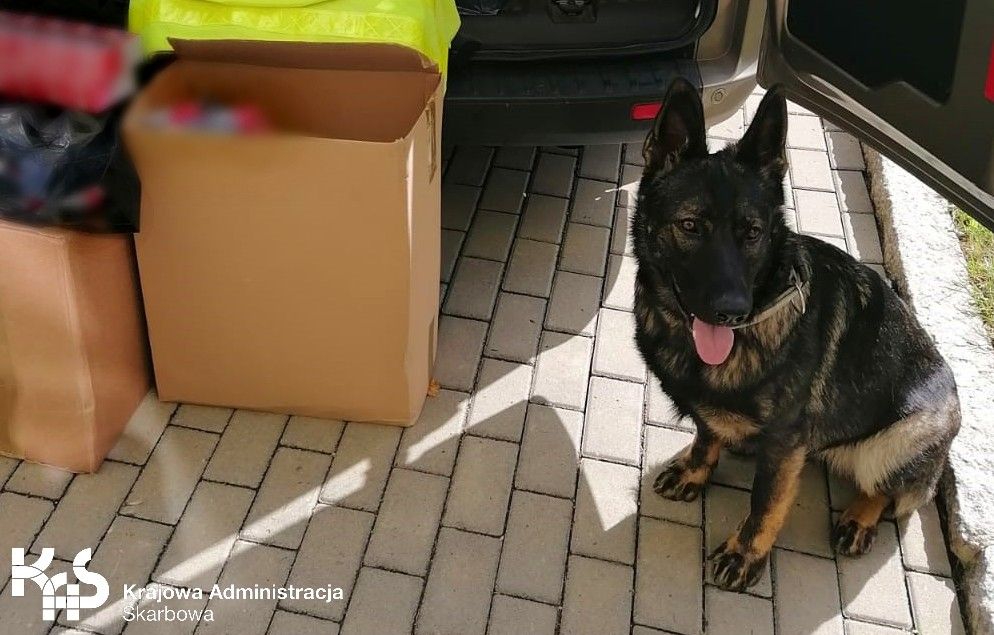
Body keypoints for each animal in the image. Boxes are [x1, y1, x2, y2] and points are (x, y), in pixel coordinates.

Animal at [633, 78, 960, 592]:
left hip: (898, 441)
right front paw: (696, 470)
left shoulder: (784, 445)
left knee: (887, 491)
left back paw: (859, 517)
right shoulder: (719, 420)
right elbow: (707, 435)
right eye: (690, 226)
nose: (732, 311)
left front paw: (745, 554)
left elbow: (765, 503)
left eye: (752, 232)